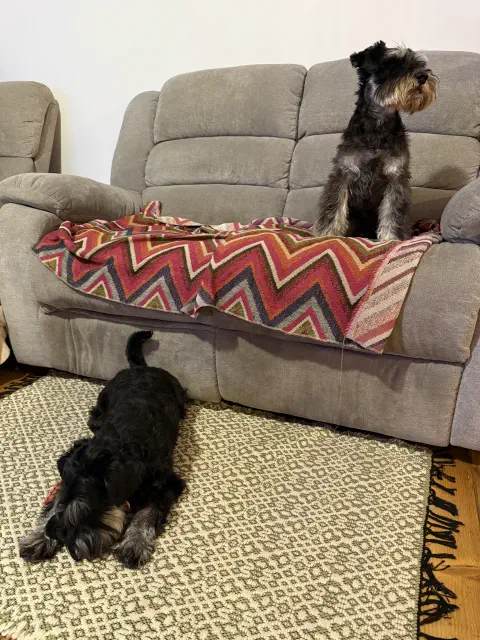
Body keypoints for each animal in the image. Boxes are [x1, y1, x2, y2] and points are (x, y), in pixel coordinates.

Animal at [19, 330, 186, 568]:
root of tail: (140, 367)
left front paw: (134, 544)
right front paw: (38, 538)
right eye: (62, 503)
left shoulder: (167, 483)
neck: (118, 443)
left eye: (83, 510)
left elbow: (147, 512)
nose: (54, 533)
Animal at [313, 41, 437, 241]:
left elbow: (392, 210)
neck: (378, 124)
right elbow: (335, 206)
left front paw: (391, 238)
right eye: (392, 64)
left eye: (419, 64)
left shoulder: (396, 176)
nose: (422, 76)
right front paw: (327, 234)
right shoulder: (344, 171)